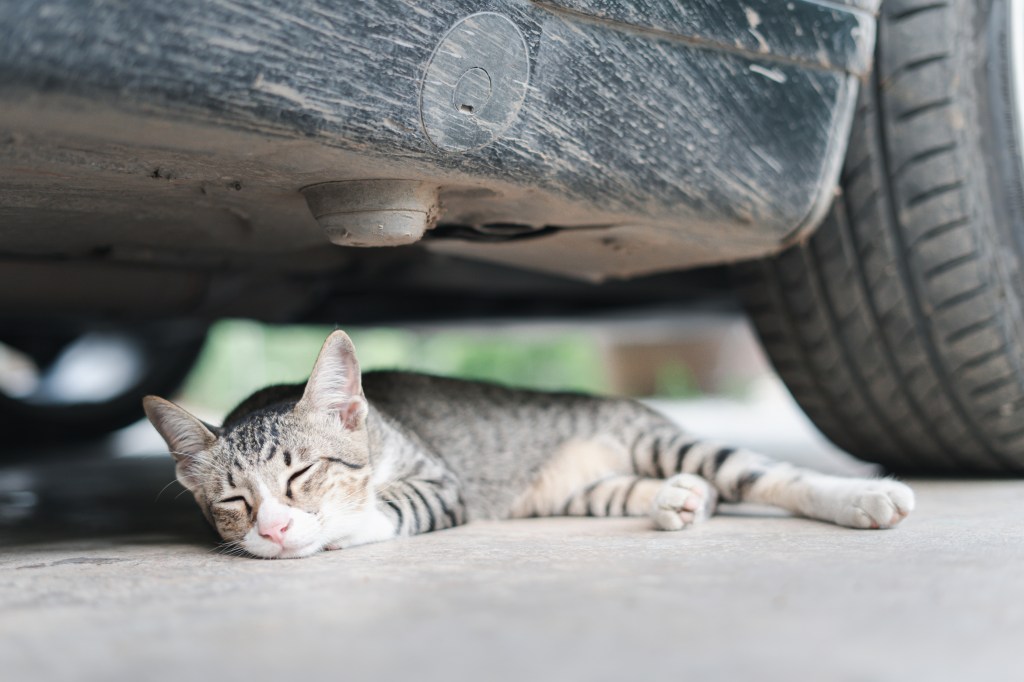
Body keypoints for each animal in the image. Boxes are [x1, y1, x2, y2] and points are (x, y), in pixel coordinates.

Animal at [142, 329, 913, 557]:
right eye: (234, 502)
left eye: (302, 475)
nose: (273, 527)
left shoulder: (440, 483)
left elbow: (387, 507)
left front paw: (336, 527)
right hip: (589, 490)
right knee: (699, 492)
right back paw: (681, 501)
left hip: (664, 442)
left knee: (763, 473)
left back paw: (866, 498)